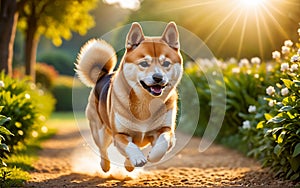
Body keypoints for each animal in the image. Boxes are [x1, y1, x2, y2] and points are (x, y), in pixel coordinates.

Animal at [75, 21, 183, 172]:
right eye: (144, 63)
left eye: (166, 63)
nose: (158, 77)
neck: (146, 103)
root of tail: (102, 75)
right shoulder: (120, 134)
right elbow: (129, 146)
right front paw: (137, 158)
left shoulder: (166, 129)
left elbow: (163, 142)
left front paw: (152, 155)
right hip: (100, 131)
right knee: (102, 149)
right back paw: (105, 165)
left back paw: (129, 165)